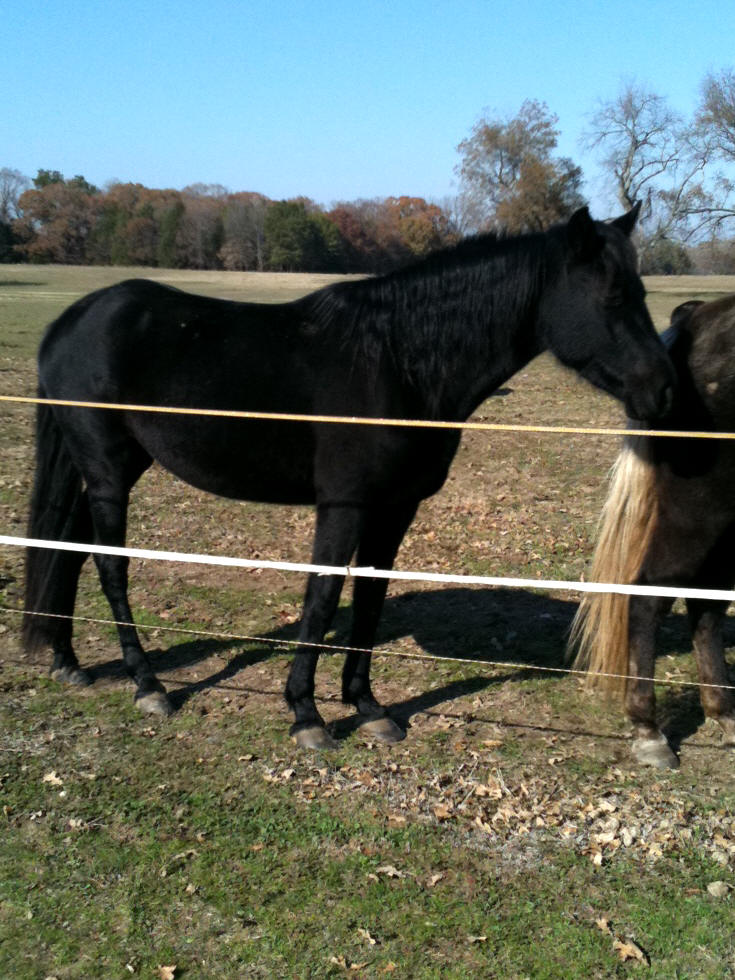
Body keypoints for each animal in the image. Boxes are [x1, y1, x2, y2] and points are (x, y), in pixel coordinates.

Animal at [23, 203, 674, 750]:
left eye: (642, 291)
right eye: (613, 297)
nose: (662, 393)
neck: (397, 360)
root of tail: (72, 320)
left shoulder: (395, 508)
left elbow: (369, 598)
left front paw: (367, 705)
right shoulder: (344, 505)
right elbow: (323, 596)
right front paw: (306, 713)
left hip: (110, 468)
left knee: (69, 549)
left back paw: (68, 660)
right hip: (108, 471)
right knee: (109, 565)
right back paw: (148, 684)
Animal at [570, 295, 735, 769]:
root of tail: (695, 316)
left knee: (707, 604)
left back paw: (723, 712)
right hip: (701, 509)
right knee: (650, 596)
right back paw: (648, 729)